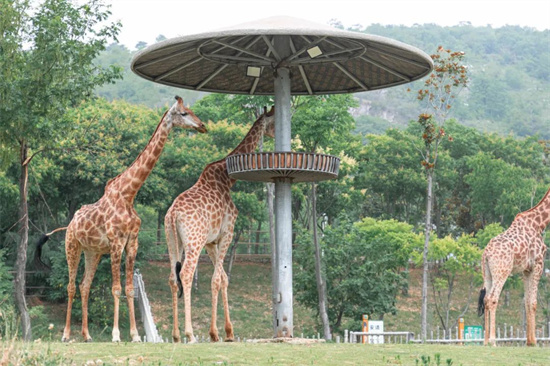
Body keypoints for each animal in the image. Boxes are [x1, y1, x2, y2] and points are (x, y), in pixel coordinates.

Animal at [36, 96, 208, 342]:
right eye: (183, 113)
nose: (202, 126)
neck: (128, 194)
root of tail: (69, 225)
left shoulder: (132, 242)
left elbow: (128, 289)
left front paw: (135, 335)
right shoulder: (116, 242)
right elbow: (116, 288)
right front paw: (117, 335)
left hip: (93, 252)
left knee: (84, 285)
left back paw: (87, 335)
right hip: (72, 246)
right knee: (70, 286)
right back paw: (67, 334)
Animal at [164, 106, 276, 344]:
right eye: (272, 122)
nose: (273, 133)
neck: (227, 178)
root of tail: (173, 214)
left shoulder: (210, 242)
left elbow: (223, 277)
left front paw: (228, 332)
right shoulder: (227, 233)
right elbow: (217, 279)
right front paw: (216, 333)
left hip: (172, 240)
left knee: (172, 277)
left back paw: (176, 335)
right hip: (193, 241)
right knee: (186, 274)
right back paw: (190, 334)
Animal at [478, 187, 550, 344]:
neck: (539, 223)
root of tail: (486, 254)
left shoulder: (526, 269)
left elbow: (527, 302)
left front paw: (529, 342)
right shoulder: (538, 264)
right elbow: (533, 303)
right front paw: (534, 341)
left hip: (487, 273)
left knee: (486, 299)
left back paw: (485, 341)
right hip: (502, 271)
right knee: (492, 298)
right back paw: (493, 341)